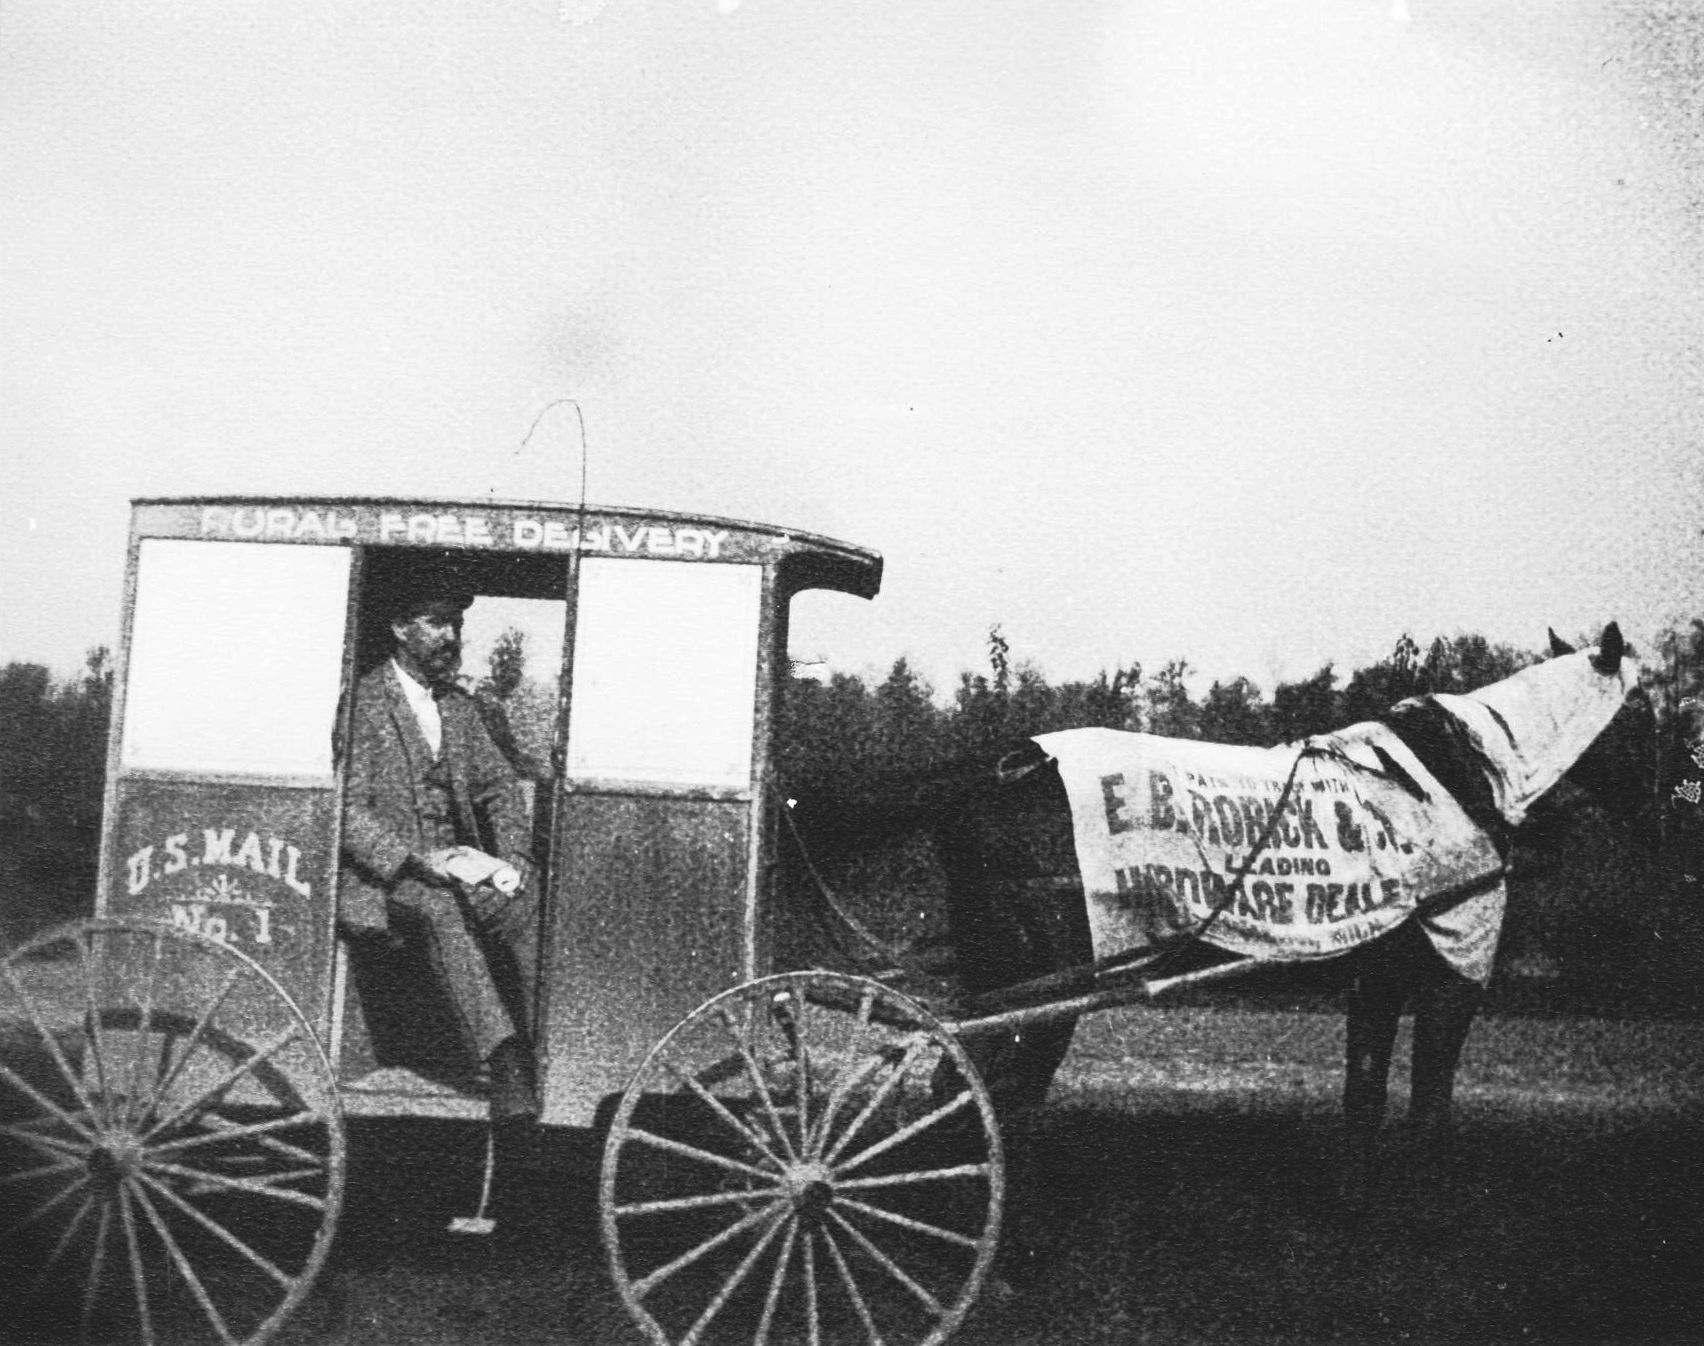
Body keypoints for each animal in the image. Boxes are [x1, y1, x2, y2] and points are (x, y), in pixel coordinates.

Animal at [787, 623, 1649, 1199]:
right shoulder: (1448, 972)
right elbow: (1427, 1099)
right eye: (1641, 706)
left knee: (959, 1089)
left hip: (1003, 971)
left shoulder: (1378, 976)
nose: (1655, 794)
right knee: (1001, 1092)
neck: (1448, 781)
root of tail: (999, 767)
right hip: (1052, 979)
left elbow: (1365, 1093)